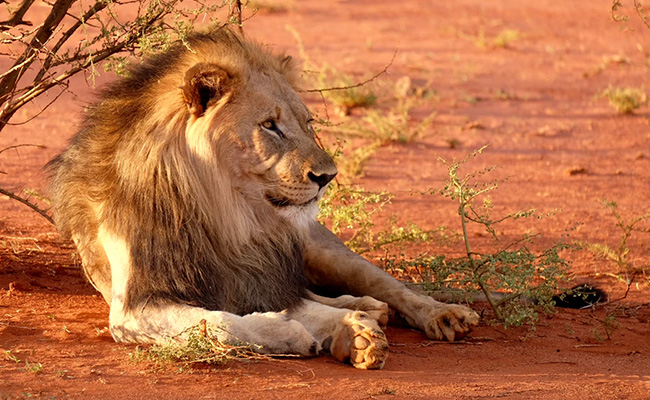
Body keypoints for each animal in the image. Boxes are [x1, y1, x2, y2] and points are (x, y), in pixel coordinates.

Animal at [47, 27, 479, 369]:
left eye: (308, 124)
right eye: (270, 125)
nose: (328, 176)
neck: (224, 212)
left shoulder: (252, 274)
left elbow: (291, 305)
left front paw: (350, 331)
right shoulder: (133, 308)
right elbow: (220, 321)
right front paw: (308, 333)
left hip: (318, 247)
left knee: (389, 285)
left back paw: (439, 315)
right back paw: (363, 309)